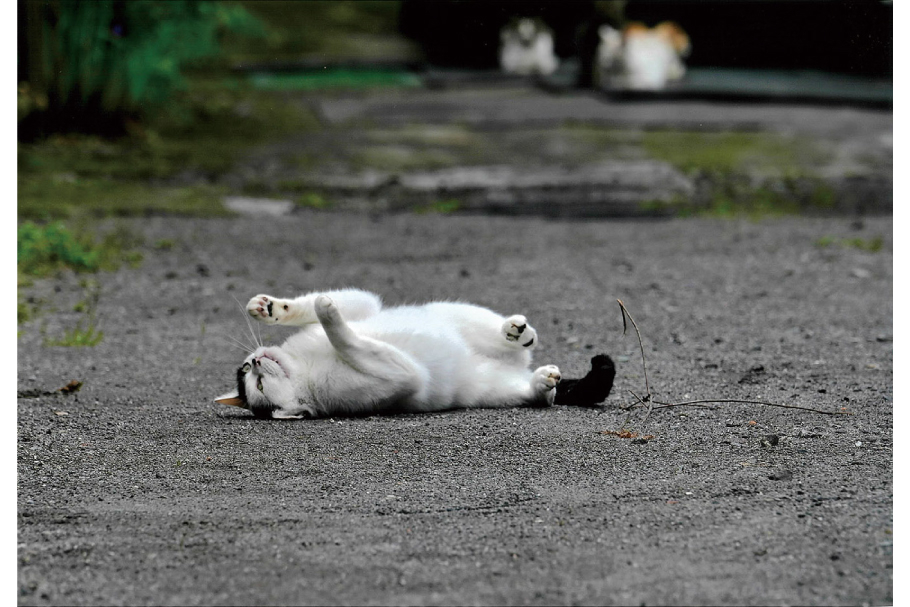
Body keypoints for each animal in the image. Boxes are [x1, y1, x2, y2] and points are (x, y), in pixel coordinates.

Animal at [214, 288, 612, 420]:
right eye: (258, 386)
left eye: (249, 371)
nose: (257, 361)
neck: (306, 365)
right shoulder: (401, 375)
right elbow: (348, 339)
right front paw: (330, 317)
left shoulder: (363, 305)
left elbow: (320, 306)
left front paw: (269, 308)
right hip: (500, 389)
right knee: (539, 393)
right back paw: (542, 383)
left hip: (459, 313)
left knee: (511, 337)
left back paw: (516, 333)